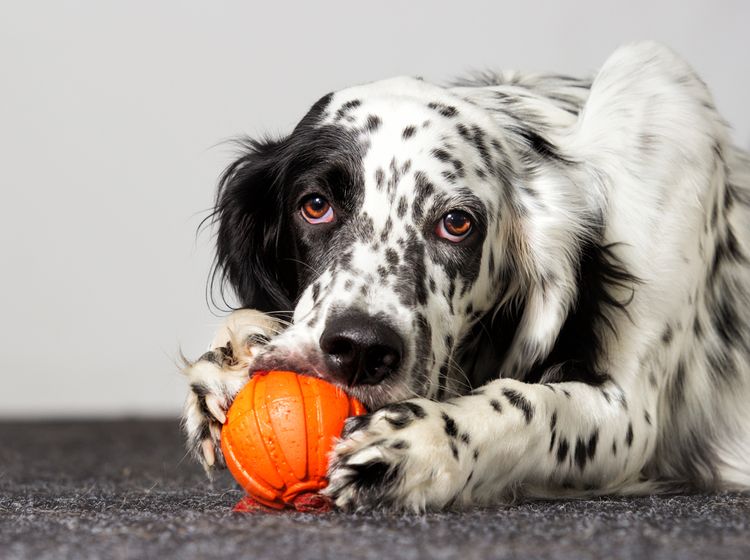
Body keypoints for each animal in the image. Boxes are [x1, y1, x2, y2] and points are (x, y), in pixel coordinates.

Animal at [182, 41, 750, 510]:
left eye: (457, 223)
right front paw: (234, 353)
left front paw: (425, 443)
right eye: (315, 205)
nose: (361, 349)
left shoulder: (632, 416)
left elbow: (530, 403)